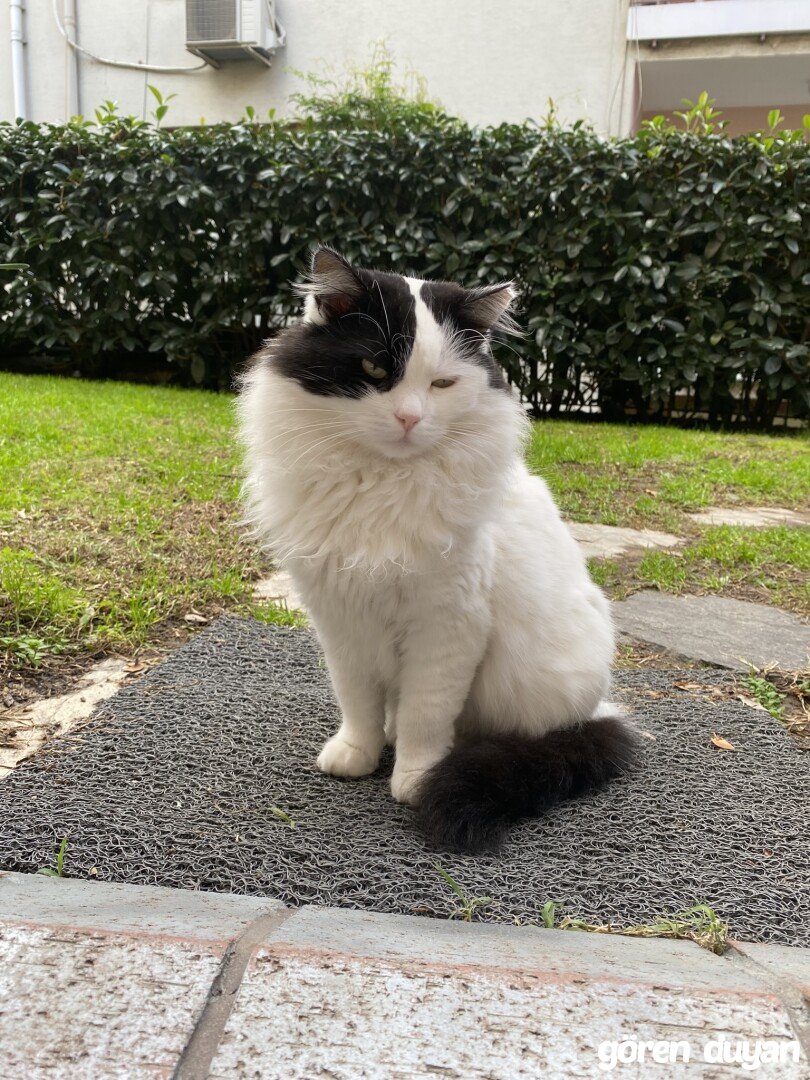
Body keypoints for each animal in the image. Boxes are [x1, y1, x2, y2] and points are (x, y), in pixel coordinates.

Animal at [238, 247, 639, 853]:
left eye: (443, 384)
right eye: (375, 371)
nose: (409, 418)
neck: (380, 487)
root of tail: (601, 709)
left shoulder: (447, 624)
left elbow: (426, 715)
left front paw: (415, 777)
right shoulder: (341, 618)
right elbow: (356, 701)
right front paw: (357, 753)